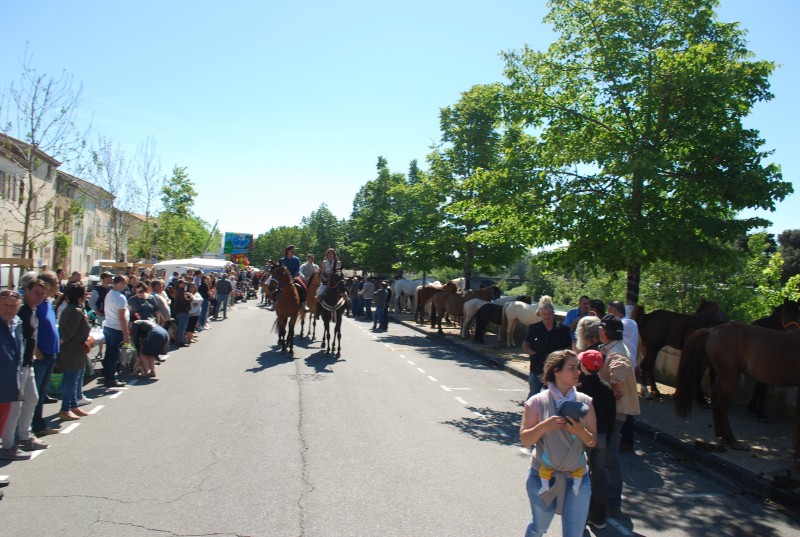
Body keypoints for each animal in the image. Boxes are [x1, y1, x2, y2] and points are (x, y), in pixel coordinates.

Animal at [680, 322, 800, 460]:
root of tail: (712, 330)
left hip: (723, 376)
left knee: (716, 400)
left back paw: (722, 434)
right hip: (729, 377)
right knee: (722, 404)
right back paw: (732, 440)